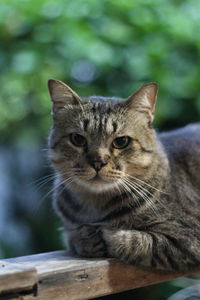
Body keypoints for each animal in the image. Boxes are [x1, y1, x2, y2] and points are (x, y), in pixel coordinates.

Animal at [47, 78, 200, 270]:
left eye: (121, 142)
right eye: (77, 139)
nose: (98, 162)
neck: (94, 206)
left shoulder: (188, 238)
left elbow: (137, 241)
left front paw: (104, 233)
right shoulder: (68, 229)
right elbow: (72, 236)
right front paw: (85, 238)